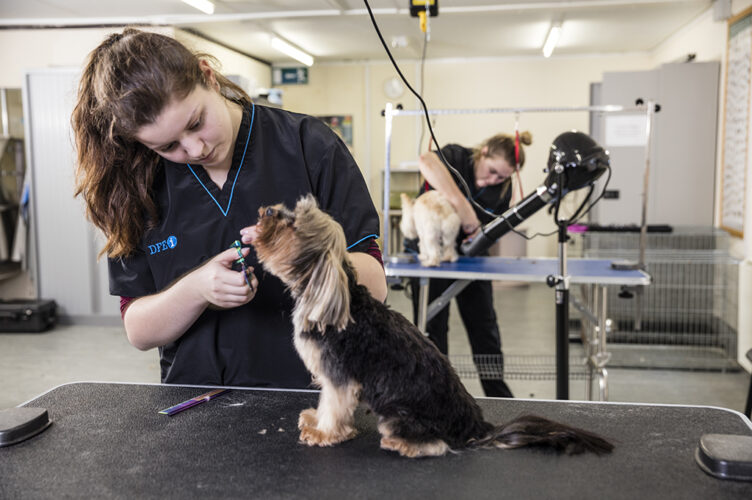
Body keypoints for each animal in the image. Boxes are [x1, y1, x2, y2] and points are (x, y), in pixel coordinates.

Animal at [250, 195, 613, 458]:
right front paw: (315, 419)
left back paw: (401, 443)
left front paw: (322, 432)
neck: (330, 296)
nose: (267, 209)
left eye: (291, 223)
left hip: (398, 413)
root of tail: (476, 426)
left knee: (437, 444)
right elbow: (327, 402)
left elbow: (333, 406)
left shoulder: (339, 375)